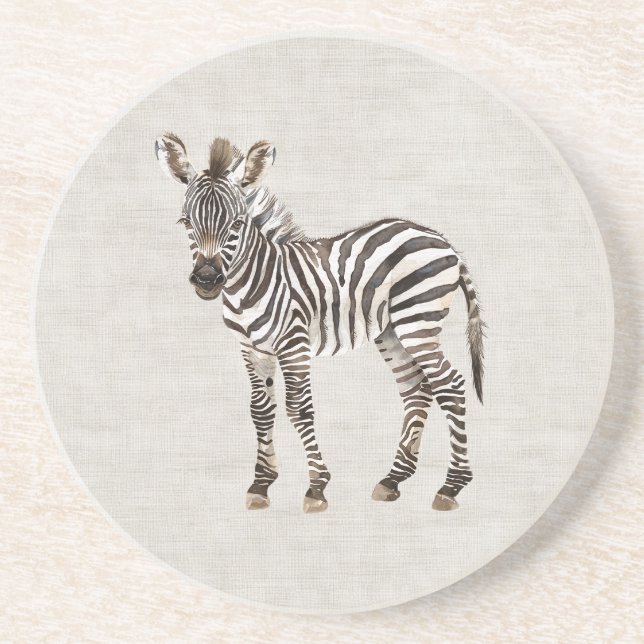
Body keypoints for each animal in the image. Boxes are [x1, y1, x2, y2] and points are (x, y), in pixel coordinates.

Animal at [155, 133, 485, 514]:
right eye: (185, 222)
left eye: (237, 223)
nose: (207, 280)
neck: (253, 280)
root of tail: (442, 240)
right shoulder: (252, 348)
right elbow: (260, 410)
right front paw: (261, 484)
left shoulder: (293, 344)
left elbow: (299, 409)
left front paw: (316, 488)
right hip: (392, 331)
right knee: (416, 390)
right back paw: (393, 479)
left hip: (417, 321)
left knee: (450, 384)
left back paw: (451, 486)